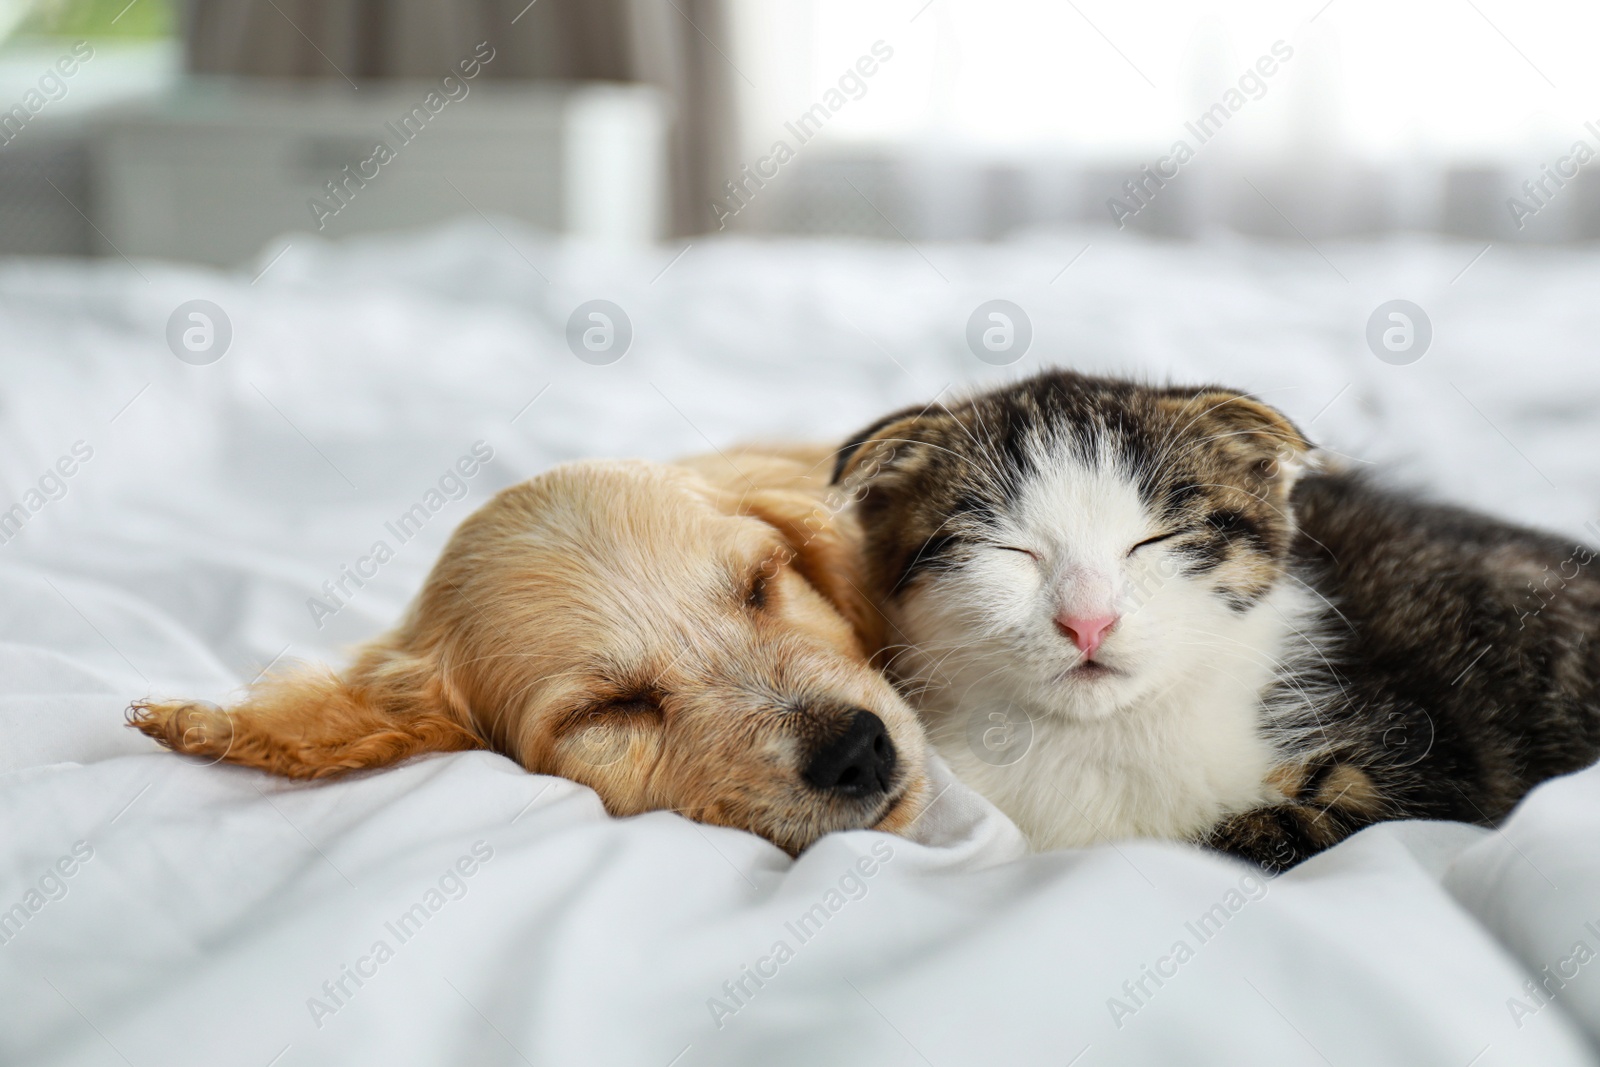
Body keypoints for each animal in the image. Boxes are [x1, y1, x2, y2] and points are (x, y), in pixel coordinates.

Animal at [832, 371, 1600, 870]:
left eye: (1154, 541)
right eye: (1010, 551)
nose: (1088, 622)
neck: (1106, 737)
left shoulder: (1428, 756)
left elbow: (1301, 827)